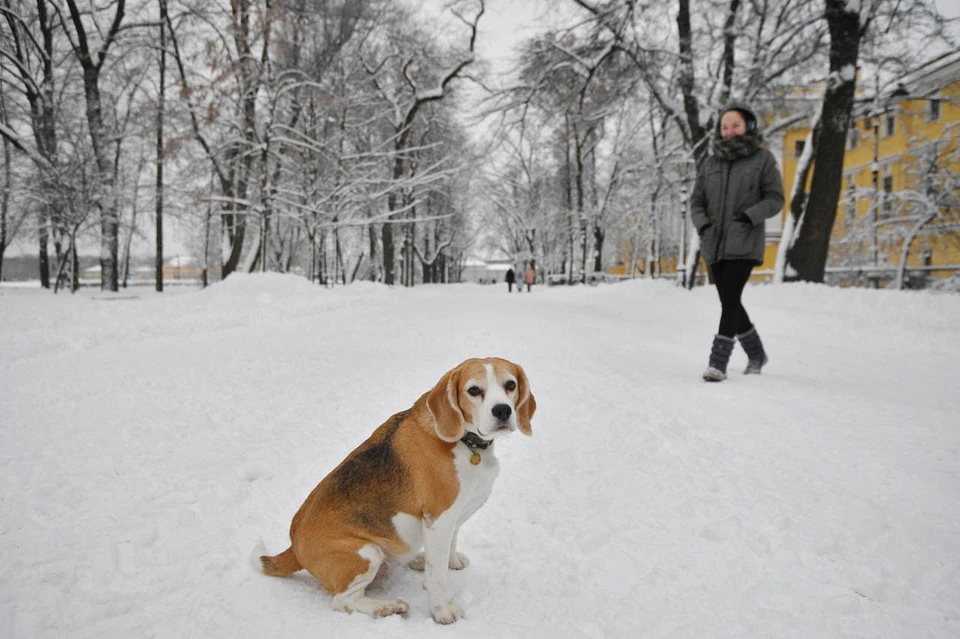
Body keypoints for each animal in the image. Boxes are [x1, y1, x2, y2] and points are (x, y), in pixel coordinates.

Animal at [258, 360, 536, 624]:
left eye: (510, 385)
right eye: (474, 390)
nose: (502, 410)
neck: (466, 442)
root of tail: (293, 547)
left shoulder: (452, 517)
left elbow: (448, 548)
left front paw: (452, 561)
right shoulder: (439, 519)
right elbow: (437, 576)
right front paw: (441, 611)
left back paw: (415, 560)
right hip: (367, 553)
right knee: (343, 601)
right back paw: (386, 607)